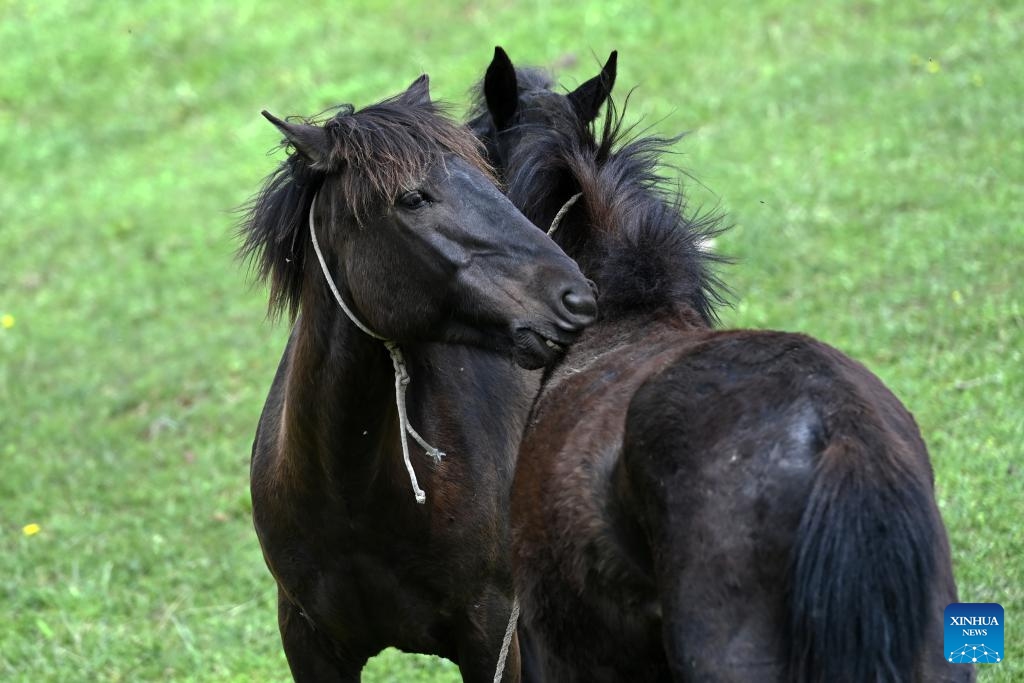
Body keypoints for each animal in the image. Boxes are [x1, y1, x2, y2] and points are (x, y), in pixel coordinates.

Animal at [239, 74, 598, 682]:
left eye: (488, 181)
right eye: (412, 198)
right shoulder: (308, 642)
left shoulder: (492, 637)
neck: (349, 497)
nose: (577, 297)